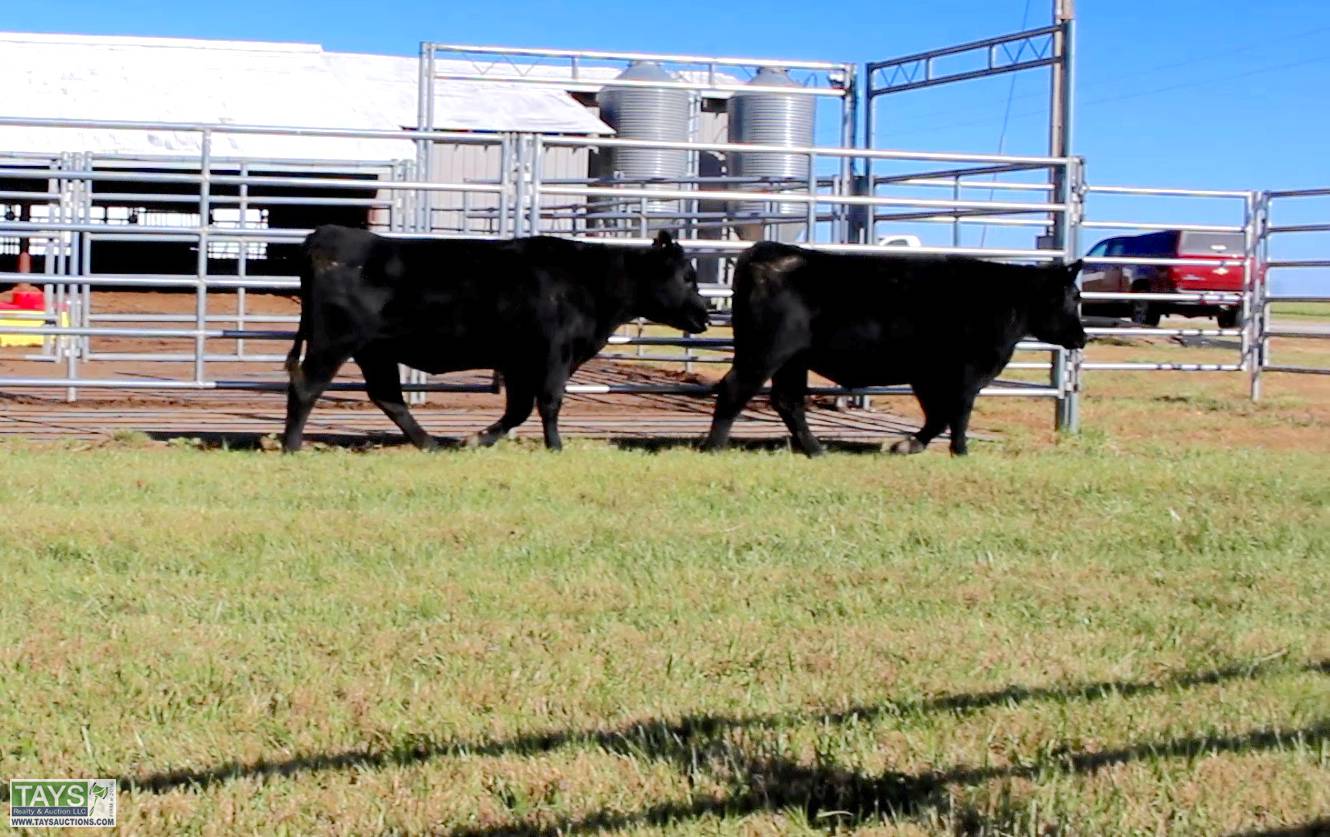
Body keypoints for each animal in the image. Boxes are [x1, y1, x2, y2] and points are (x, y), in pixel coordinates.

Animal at [283, 226, 709, 453]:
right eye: (687, 276)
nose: (705, 315)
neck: (589, 280)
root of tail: (325, 237)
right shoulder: (553, 354)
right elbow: (549, 402)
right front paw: (555, 446)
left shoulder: (519, 362)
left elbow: (518, 409)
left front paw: (476, 439)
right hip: (333, 343)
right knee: (306, 387)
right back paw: (291, 445)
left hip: (375, 351)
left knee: (388, 397)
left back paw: (431, 443)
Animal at [701, 242, 1087, 456]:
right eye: (1074, 296)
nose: (1082, 338)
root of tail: (772, 251)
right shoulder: (966, 371)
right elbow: (958, 412)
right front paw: (960, 451)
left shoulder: (928, 374)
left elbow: (938, 415)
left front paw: (909, 444)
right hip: (767, 351)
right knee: (735, 388)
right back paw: (714, 446)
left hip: (792, 360)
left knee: (787, 401)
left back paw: (815, 449)